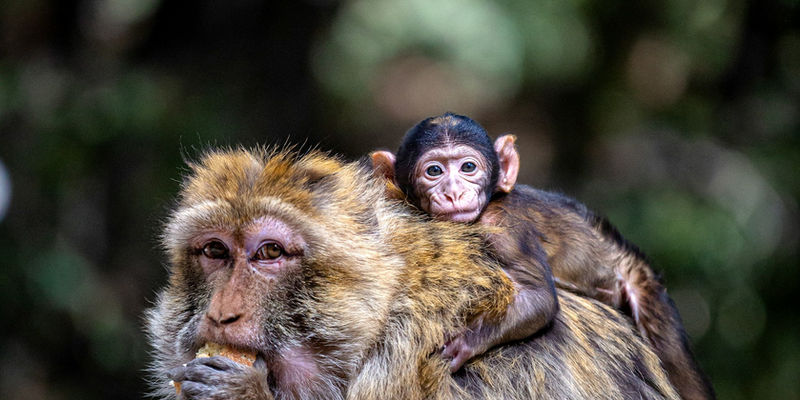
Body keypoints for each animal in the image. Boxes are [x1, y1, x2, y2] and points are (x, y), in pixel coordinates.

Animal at [371, 112, 715, 400]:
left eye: (468, 167)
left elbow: (539, 299)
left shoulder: (506, 229)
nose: (453, 192)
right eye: (434, 171)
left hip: (646, 294)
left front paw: (463, 345)